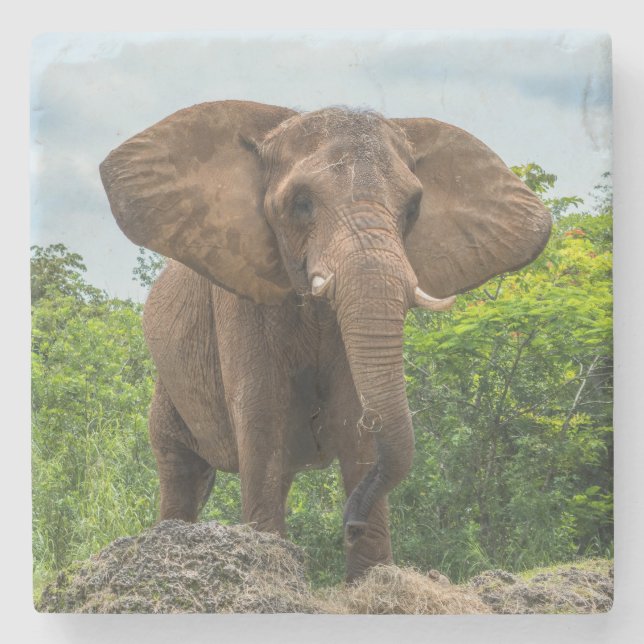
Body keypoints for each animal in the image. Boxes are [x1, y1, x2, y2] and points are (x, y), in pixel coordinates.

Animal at [100, 100, 551, 581]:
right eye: (301, 203)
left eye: (413, 208)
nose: (351, 523)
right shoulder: (240, 300)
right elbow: (261, 417)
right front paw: (272, 570)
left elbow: (357, 417)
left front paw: (370, 579)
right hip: (168, 385)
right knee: (181, 470)